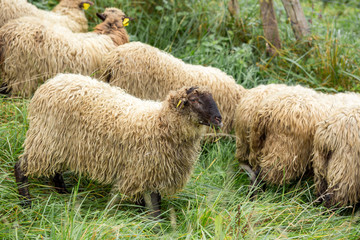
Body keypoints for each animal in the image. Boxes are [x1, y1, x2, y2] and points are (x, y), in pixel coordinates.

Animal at [14, 73, 222, 218]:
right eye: (195, 100)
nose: (219, 119)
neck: (159, 122)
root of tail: (50, 83)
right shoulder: (143, 169)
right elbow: (153, 206)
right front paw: (155, 227)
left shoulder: (153, 171)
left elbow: (151, 202)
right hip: (46, 138)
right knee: (21, 166)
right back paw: (26, 202)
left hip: (58, 144)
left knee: (54, 170)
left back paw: (62, 193)